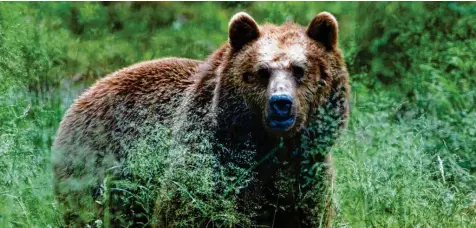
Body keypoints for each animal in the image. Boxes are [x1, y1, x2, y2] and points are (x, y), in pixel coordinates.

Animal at [53, 11, 350, 228]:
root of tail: (83, 96)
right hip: (96, 167)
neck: (270, 148)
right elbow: (185, 209)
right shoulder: (210, 161)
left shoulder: (306, 175)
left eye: (300, 70)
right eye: (262, 71)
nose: (281, 104)